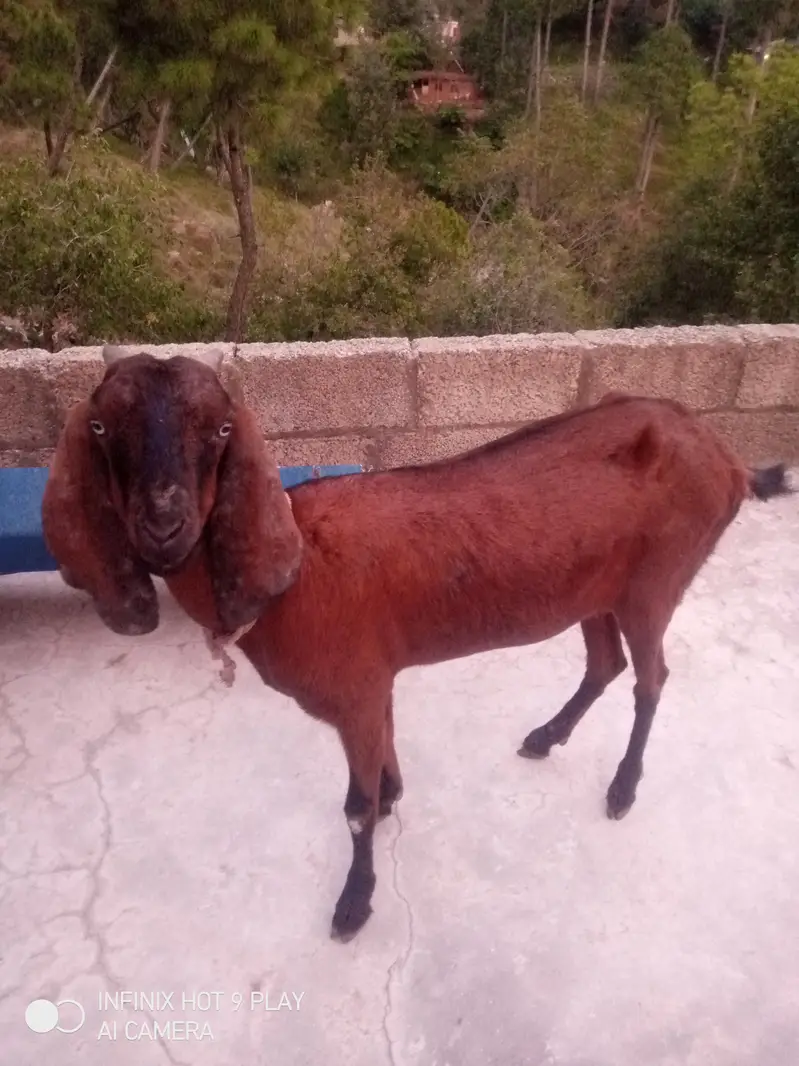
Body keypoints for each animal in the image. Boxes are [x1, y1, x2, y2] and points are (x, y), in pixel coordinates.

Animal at [42, 346, 792, 942]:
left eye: (223, 428)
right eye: (101, 426)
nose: (163, 525)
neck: (297, 571)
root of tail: (727, 458)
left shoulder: (353, 687)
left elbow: (353, 809)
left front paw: (354, 903)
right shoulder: (375, 680)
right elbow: (384, 750)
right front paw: (393, 792)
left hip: (655, 582)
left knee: (651, 676)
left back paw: (622, 787)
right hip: (598, 588)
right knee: (605, 664)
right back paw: (546, 737)